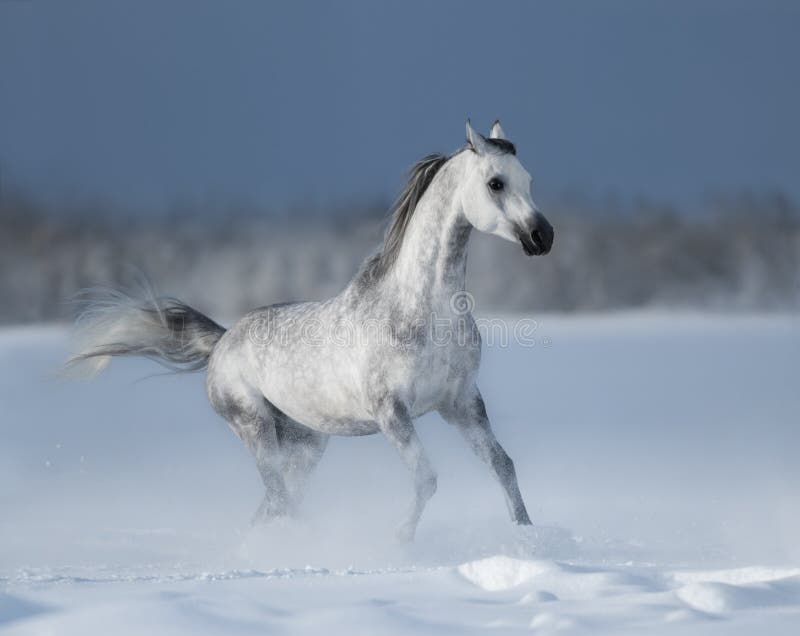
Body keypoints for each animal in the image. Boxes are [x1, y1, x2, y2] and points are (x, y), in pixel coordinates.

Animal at [68, 120, 554, 541]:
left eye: (528, 178)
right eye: (495, 182)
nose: (542, 236)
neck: (423, 311)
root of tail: (223, 341)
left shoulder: (462, 403)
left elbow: (503, 465)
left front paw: (529, 538)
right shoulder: (392, 412)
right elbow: (426, 478)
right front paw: (400, 539)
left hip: (307, 442)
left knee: (274, 504)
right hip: (256, 430)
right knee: (279, 500)